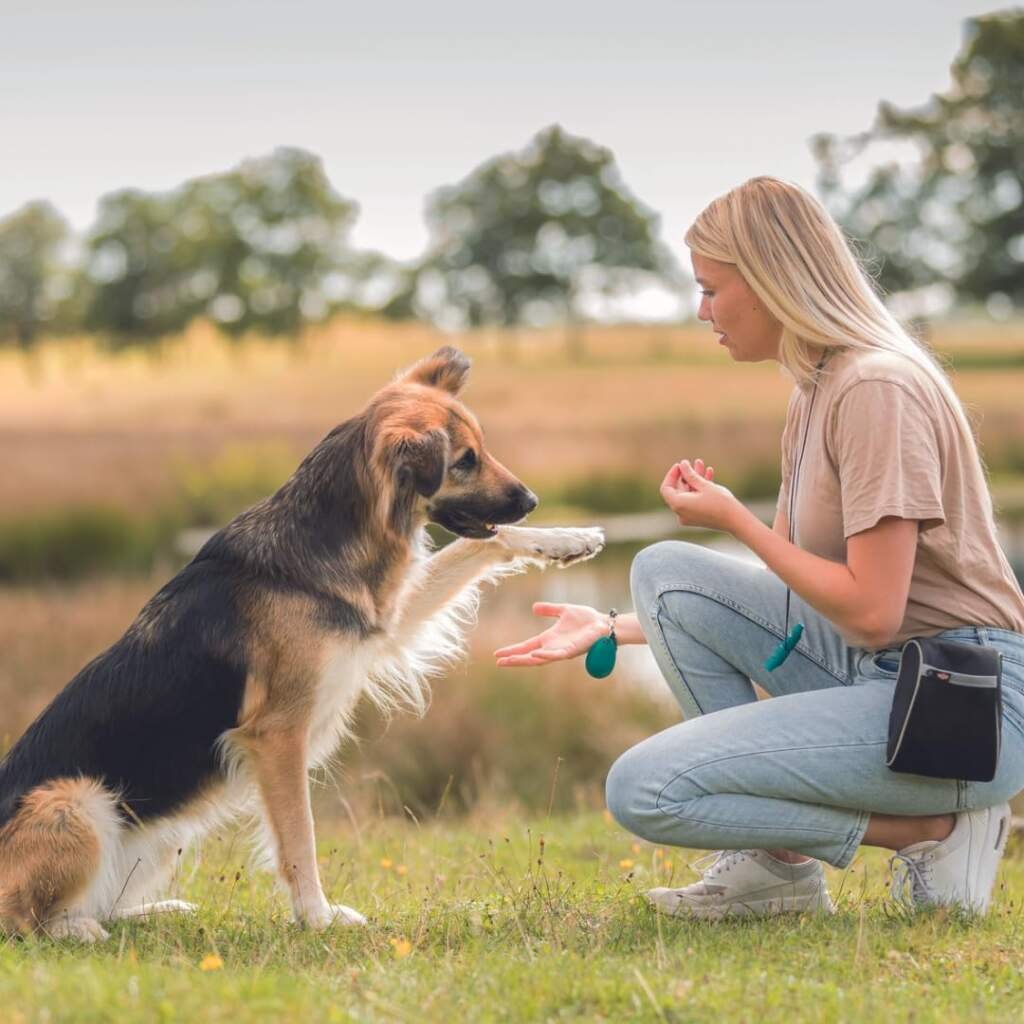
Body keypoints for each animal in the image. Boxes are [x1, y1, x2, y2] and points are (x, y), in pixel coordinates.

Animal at [0, 348, 602, 937]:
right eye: (465, 461)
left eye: (482, 450)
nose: (533, 499)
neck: (330, 532)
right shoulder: (278, 736)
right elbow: (299, 838)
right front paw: (317, 916)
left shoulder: (384, 624)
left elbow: (484, 546)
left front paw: (565, 539)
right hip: (77, 801)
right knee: (26, 918)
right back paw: (76, 930)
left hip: (161, 830)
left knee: (102, 901)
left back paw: (152, 912)